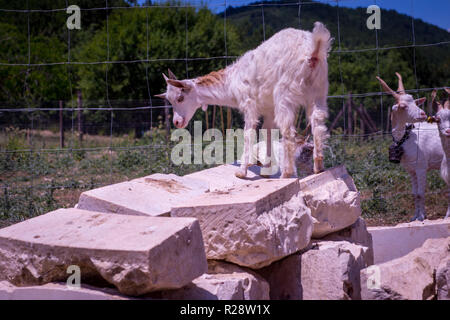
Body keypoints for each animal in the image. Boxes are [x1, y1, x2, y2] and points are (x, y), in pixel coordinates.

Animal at [156, 21, 332, 179]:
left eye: (180, 98)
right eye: (169, 100)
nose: (177, 122)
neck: (232, 81)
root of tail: (311, 53)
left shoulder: (249, 104)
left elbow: (248, 134)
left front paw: (241, 172)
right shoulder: (268, 110)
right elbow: (267, 133)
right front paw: (266, 170)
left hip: (285, 93)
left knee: (288, 130)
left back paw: (287, 173)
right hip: (319, 91)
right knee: (318, 123)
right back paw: (318, 167)